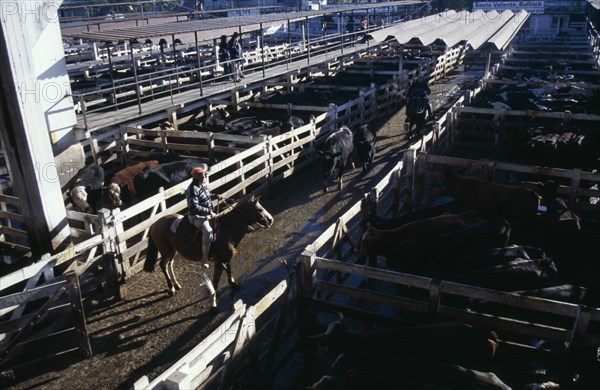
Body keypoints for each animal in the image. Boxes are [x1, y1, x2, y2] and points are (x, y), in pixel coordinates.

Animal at [144, 193, 276, 310]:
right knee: (163, 265)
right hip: (166, 251)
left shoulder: (225, 258)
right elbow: (216, 282)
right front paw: (213, 301)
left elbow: (229, 270)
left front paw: (233, 283)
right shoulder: (219, 262)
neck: (226, 230)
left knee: (169, 264)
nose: (271, 220)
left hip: (173, 250)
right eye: (259, 209)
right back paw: (171, 288)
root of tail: (154, 224)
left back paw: (176, 284)